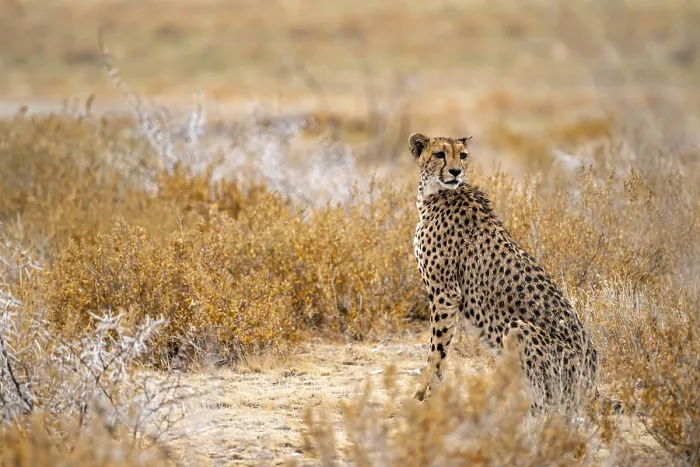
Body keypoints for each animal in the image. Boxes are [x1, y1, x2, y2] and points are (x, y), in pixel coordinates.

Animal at [408, 132, 599, 413]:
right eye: (439, 154)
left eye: (462, 155)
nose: (455, 171)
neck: (437, 192)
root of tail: (592, 382)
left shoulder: (446, 294)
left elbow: (437, 350)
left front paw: (424, 395)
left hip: (519, 330)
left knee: (547, 404)